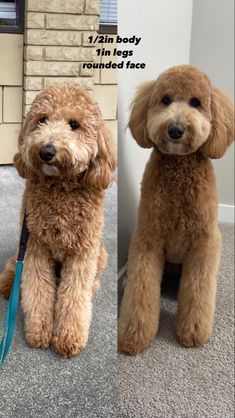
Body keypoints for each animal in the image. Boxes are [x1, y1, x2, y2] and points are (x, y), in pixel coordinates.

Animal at [0, 84, 115, 356]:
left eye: (74, 124)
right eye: (42, 120)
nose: (46, 151)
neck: (61, 190)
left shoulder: (82, 253)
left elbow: (74, 297)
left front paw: (68, 336)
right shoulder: (35, 246)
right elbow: (38, 289)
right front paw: (39, 330)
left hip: (101, 254)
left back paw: (94, 287)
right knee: (14, 266)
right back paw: (9, 285)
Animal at [118, 64, 234, 352]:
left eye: (196, 103)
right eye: (166, 99)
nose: (176, 129)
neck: (180, 170)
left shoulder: (204, 243)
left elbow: (198, 291)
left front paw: (193, 331)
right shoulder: (148, 239)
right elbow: (141, 289)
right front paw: (135, 334)